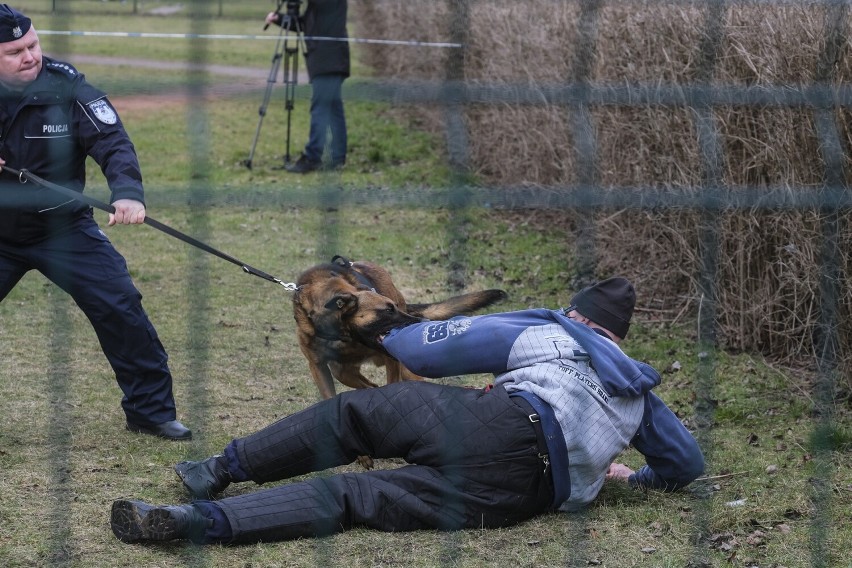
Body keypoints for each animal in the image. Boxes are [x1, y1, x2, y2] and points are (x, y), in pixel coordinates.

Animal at [294, 256, 506, 400]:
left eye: (393, 307)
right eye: (387, 310)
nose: (420, 321)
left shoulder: (391, 359)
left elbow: (392, 386)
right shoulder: (318, 367)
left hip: (404, 369)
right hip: (342, 372)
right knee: (370, 386)